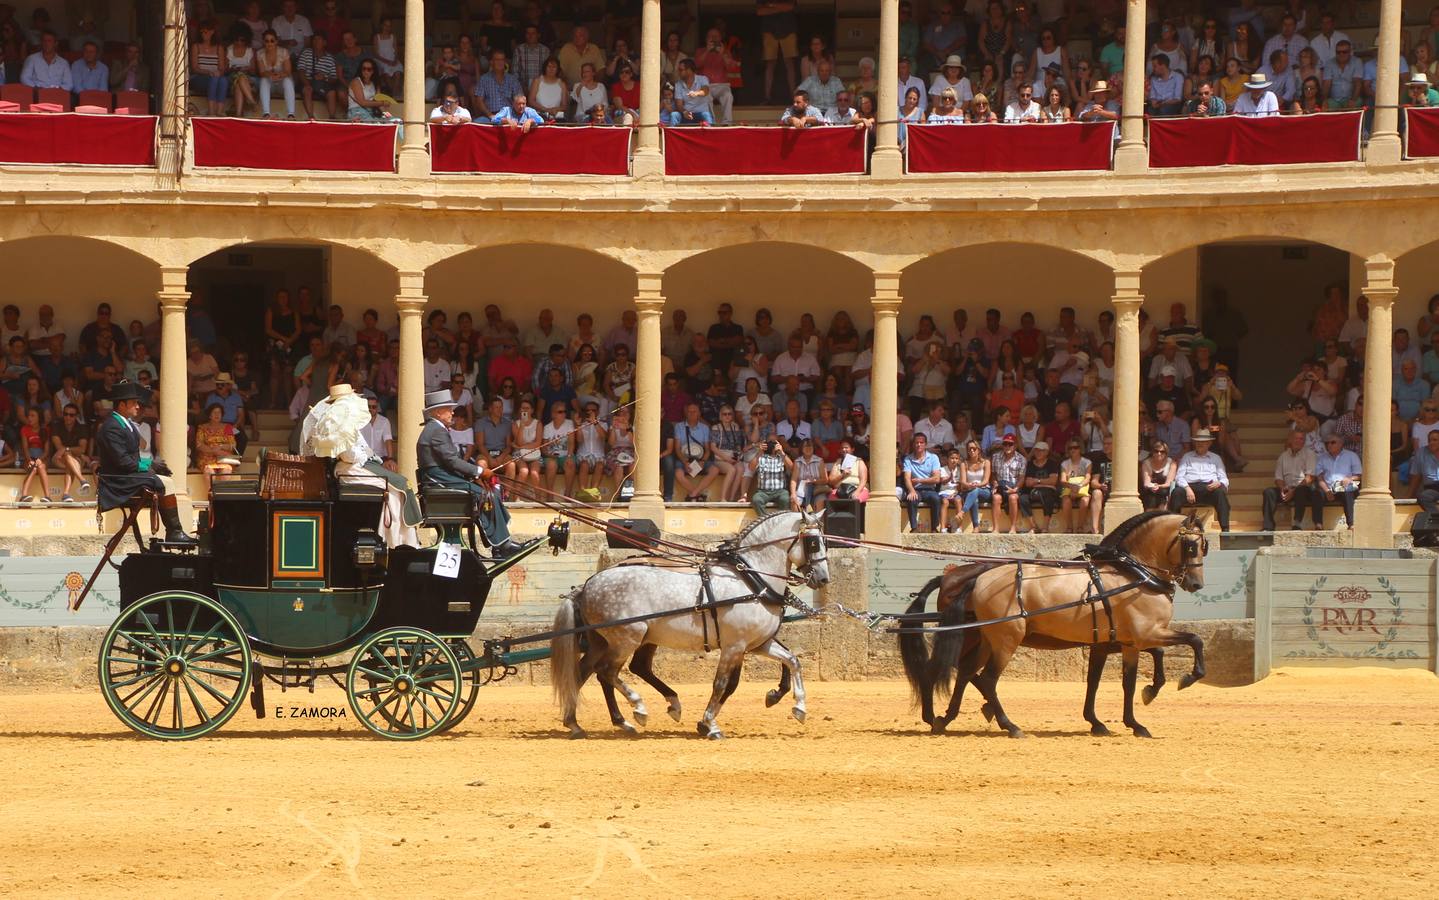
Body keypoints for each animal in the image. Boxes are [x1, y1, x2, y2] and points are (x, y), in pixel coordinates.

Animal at [546, 512, 828, 737]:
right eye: (813, 542)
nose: (823, 578)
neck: (751, 580)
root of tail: (587, 586)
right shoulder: (734, 646)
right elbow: (723, 684)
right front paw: (709, 724)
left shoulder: (758, 643)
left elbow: (793, 661)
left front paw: (798, 707)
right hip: (627, 638)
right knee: (606, 672)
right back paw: (637, 710)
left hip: (607, 641)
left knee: (585, 672)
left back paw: (579, 722)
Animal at [897, 512, 1203, 737]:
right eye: (1191, 546)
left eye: (1204, 547)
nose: (1196, 584)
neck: (1132, 575)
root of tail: (973, 578)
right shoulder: (1145, 635)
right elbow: (1193, 640)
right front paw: (1186, 678)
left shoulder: (1123, 642)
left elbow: (1117, 681)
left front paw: (1123, 720)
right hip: (1004, 640)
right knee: (983, 678)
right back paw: (1007, 725)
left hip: (985, 640)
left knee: (964, 672)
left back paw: (944, 718)